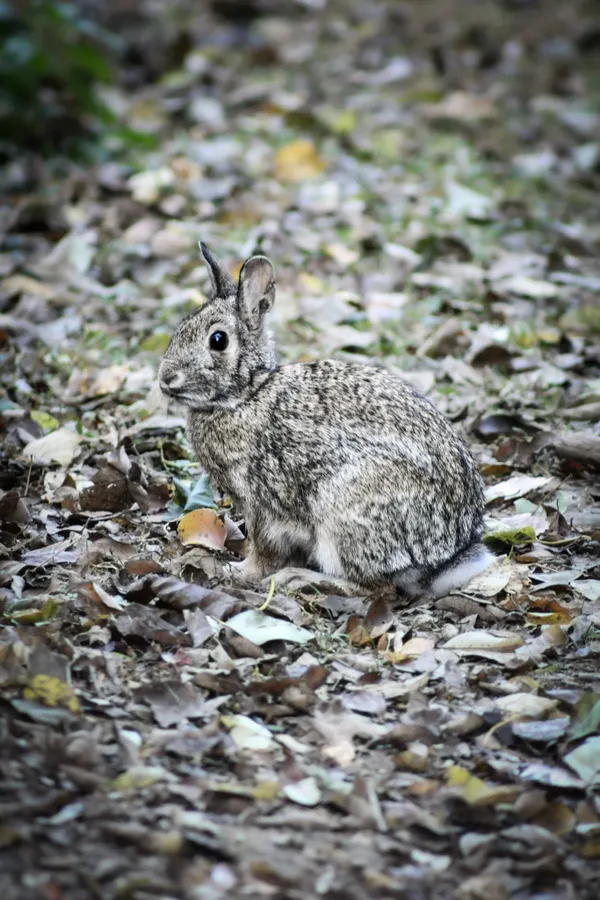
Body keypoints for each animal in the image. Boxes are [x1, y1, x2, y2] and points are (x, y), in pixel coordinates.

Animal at [158, 244, 492, 596]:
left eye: (218, 340)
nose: (165, 377)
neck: (248, 394)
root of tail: (445, 558)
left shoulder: (262, 503)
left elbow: (265, 550)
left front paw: (240, 572)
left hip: (343, 513)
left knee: (373, 588)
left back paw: (300, 579)